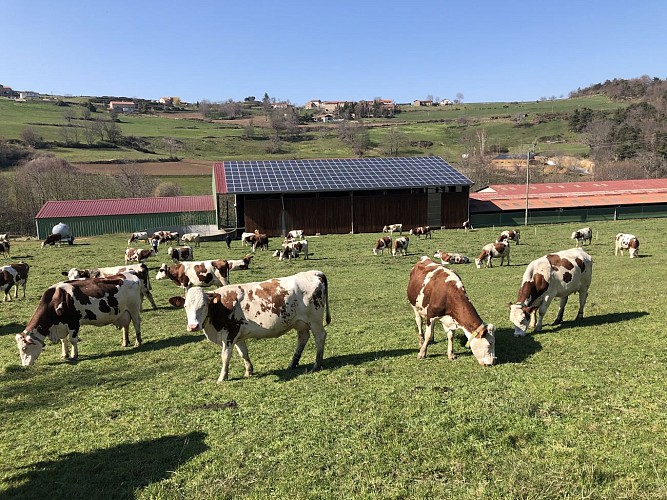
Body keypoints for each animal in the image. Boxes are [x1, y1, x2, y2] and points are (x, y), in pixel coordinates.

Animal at [16, 272, 144, 366]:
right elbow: (64, 340)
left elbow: (73, 340)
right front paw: (65, 354)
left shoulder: (74, 323)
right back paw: (125, 342)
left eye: (25, 348)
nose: (25, 365)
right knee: (126, 326)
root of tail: (130, 275)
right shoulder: (62, 325)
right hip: (123, 312)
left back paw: (137, 342)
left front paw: (74, 355)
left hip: (134, 308)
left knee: (136, 323)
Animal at [168, 272, 330, 380]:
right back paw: (293, 363)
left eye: (203, 305)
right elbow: (243, 353)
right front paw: (249, 371)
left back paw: (317, 363)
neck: (220, 306)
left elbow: (225, 356)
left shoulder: (230, 334)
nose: (193, 326)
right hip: (301, 323)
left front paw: (222, 377)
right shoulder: (238, 335)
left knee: (320, 337)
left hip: (315, 321)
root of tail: (315, 272)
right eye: (185, 306)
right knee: (303, 338)